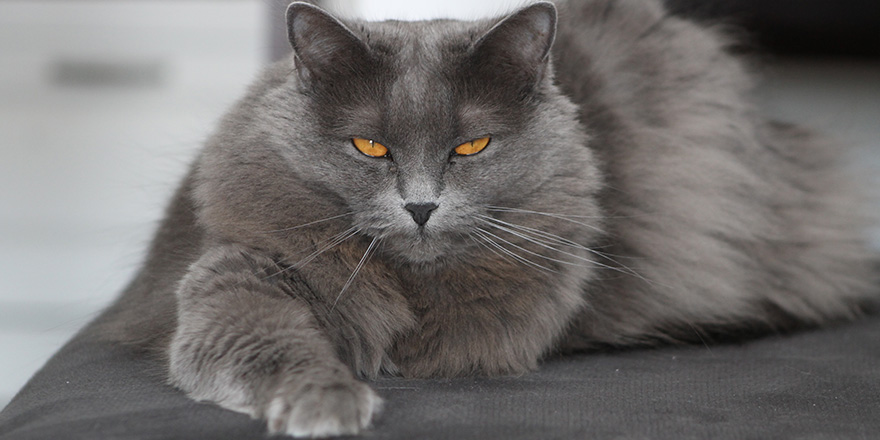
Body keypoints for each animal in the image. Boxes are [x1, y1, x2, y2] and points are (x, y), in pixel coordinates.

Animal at [89, 0, 880, 436]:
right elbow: (265, 337)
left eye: (470, 146)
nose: (420, 205)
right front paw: (326, 400)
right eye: (370, 146)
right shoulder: (242, 268)